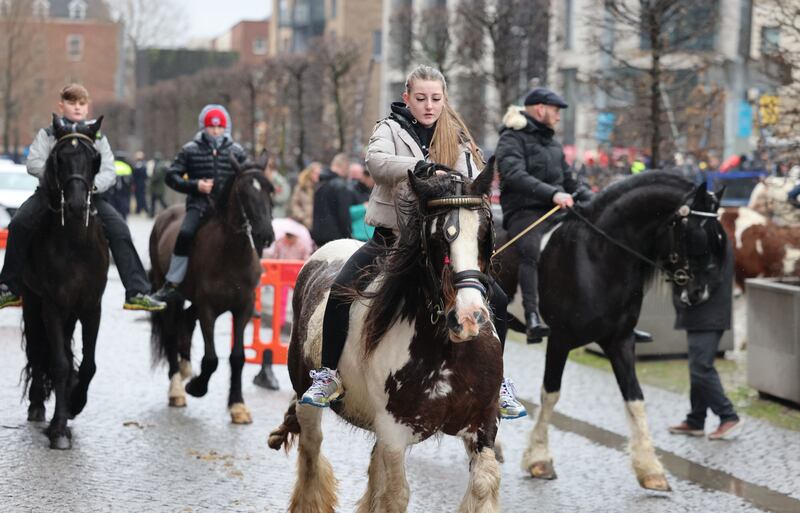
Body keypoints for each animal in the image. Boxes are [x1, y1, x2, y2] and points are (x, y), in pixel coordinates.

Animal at [21, 115, 109, 448]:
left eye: (94, 158)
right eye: (59, 158)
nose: (75, 205)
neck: (74, 242)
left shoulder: (91, 306)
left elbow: (88, 363)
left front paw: (75, 401)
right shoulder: (52, 305)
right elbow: (58, 362)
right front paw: (58, 428)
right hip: (33, 303)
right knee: (37, 350)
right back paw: (37, 404)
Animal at [148, 152, 274, 424]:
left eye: (270, 189)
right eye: (245, 191)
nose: (266, 235)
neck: (231, 254)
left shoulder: (243, 308)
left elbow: (238, 357)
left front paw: (237, 405)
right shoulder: (209, 309)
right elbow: (212, 358)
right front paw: (196, 387)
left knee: (186, 320)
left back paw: (185, 368)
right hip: (171, 294)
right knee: (172, 333)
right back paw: (177, 388)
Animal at [272, 168, 504, 512]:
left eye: (485, 232)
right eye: (438, 237)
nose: (469, 317)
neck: (448, 353)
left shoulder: (483, 423)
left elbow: (484, 483)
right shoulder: (394, 431)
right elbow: (396, 495)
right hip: (307, 400)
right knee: (311, 454)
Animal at [494, 171, 724, 488]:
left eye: (719, 237)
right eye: (697, 235)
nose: (701, 293)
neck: (596, 257)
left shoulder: (620, 341)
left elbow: (635, 398)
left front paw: (650, 469)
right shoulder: (560, 340)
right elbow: (551, 394)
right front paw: (539, 459)